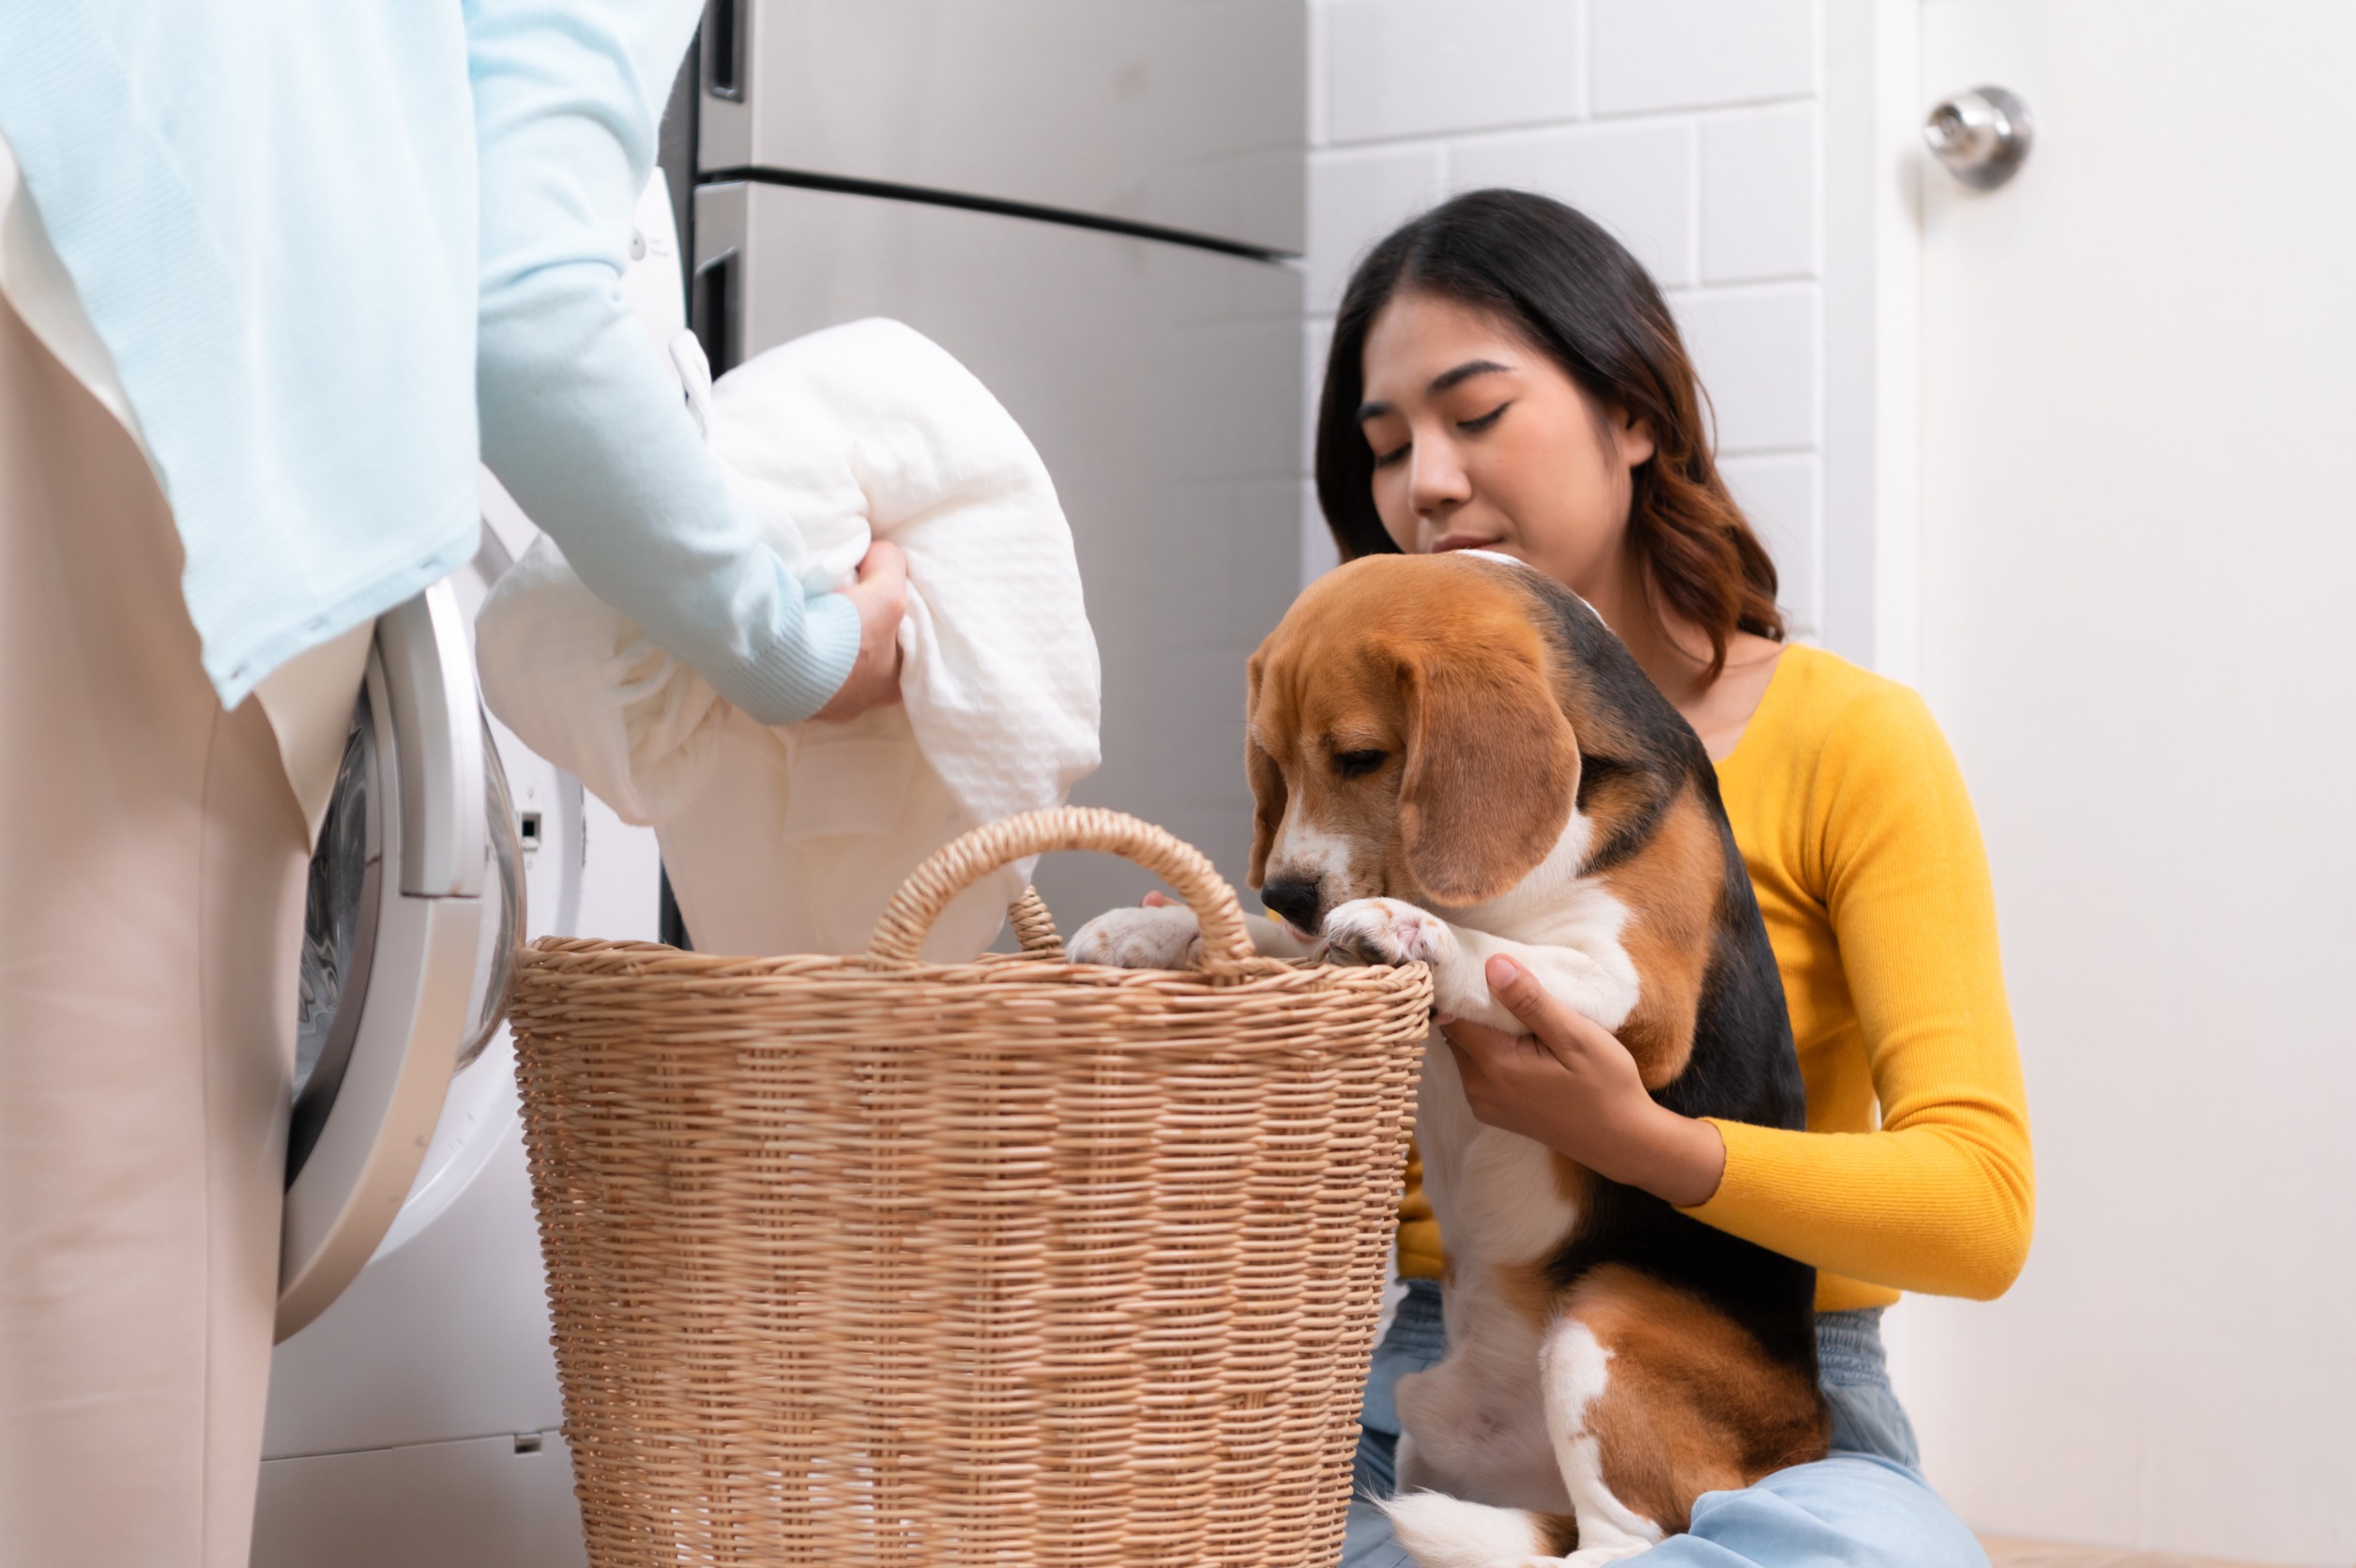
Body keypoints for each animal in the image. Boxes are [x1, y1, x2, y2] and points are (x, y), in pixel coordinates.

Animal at [1079, 554, 1828, 1565]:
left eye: (1360, 757)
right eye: (1272, 760)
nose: (1286, 890)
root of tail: (1810, 1433)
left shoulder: (1638, 987)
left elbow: (1501, 957)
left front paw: (1415, 931)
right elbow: (1273, 947)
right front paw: (1151, 927)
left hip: (1604, 1321)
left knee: (1622, 1543)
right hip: (1432, 1413)